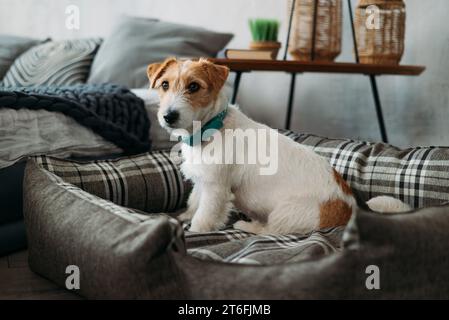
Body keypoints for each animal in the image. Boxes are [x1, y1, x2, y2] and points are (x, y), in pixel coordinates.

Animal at [146, 56, 410, 234]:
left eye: (194, 86)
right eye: (165, 85)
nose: (168, 116)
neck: (212, 127)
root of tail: (350, 208)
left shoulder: (216, 188)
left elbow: (204, 216)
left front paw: (194, 231)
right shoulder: (203, 181)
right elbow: (193, 202)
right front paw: (184, 216)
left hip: (285, 213)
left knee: (271, 231)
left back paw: (248, 226)